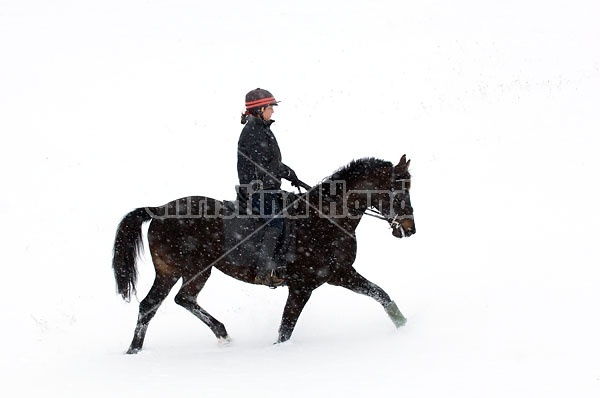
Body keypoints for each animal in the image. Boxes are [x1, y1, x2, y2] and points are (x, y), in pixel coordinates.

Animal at [112, 154, 414, 352]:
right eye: (398, 191)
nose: (409, 229)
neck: (325, 218)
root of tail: (159, 210)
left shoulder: (340, 274)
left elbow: (380, 294)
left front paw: (405, 327)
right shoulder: (303, 286)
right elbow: (285, 329)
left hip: (180, 272)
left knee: (162, 303)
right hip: (187, 270)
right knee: (166, 302)